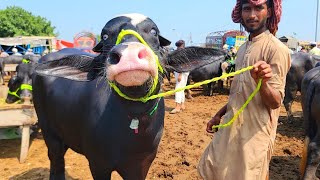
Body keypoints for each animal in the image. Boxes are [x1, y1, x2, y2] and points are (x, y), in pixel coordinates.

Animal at [30, 13, 225, 179]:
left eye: (153, 31)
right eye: (105, 36)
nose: (129, 54)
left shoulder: (142, 165)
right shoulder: (97, 164)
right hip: (49, 132)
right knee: (56, 163)